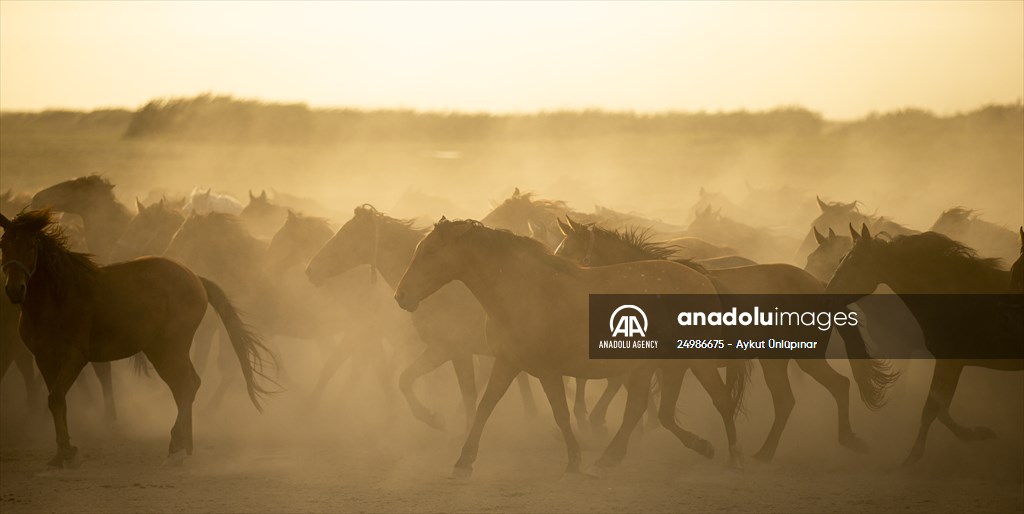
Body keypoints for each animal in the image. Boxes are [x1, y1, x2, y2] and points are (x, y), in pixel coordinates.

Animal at [0, 210, 275, 467]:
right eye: (3, 244)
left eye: (31, 246)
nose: (15, 289)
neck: (59, 296)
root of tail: (195, 277)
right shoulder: (44, 359)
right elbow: (55, 400)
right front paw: (61, 452)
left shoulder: (74, 357)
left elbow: (56, 397)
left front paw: (69, 451)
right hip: (162, 351)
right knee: (183, 386)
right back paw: (185, 446)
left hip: (170, 349)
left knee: (187, 385)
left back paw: (176, 446)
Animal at [305, 205, 536, 430]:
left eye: (347, 232)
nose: (310, 269)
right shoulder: (441, 351)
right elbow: (405, 379)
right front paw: (435, 419)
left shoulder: (453, 351)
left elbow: (467, 397)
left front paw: (442, 423)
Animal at [394, 219, 743, 477]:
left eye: (430, 251)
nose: (401, 295)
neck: (520, 290)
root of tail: (701, 279)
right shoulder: (507, 362)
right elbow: (484, 407)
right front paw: (464, 461)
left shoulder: (548, 370)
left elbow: (561, 414)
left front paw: (574, 460)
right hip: (659, 365)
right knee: (652, 410)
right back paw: (623, 456)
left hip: (693, 360)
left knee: (718, 400)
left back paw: (733, 457)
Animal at [554, 217, 897, 461]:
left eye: (569, 255)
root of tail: (818, 285)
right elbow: (647, 404)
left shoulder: (675, 364)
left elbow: (648, 403)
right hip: (776, 359)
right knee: (788, 400)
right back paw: (767, 452)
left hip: (804, 356)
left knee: (837, 386)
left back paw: (845, 440)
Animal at [827, 225, 1023, 465]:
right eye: (840, 259)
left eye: (855, 262)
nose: (826, 297)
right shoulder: (951, 365)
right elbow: (941, 410)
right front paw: (977, 433)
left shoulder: (949, 363)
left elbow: (931, 410)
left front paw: (913, 457)